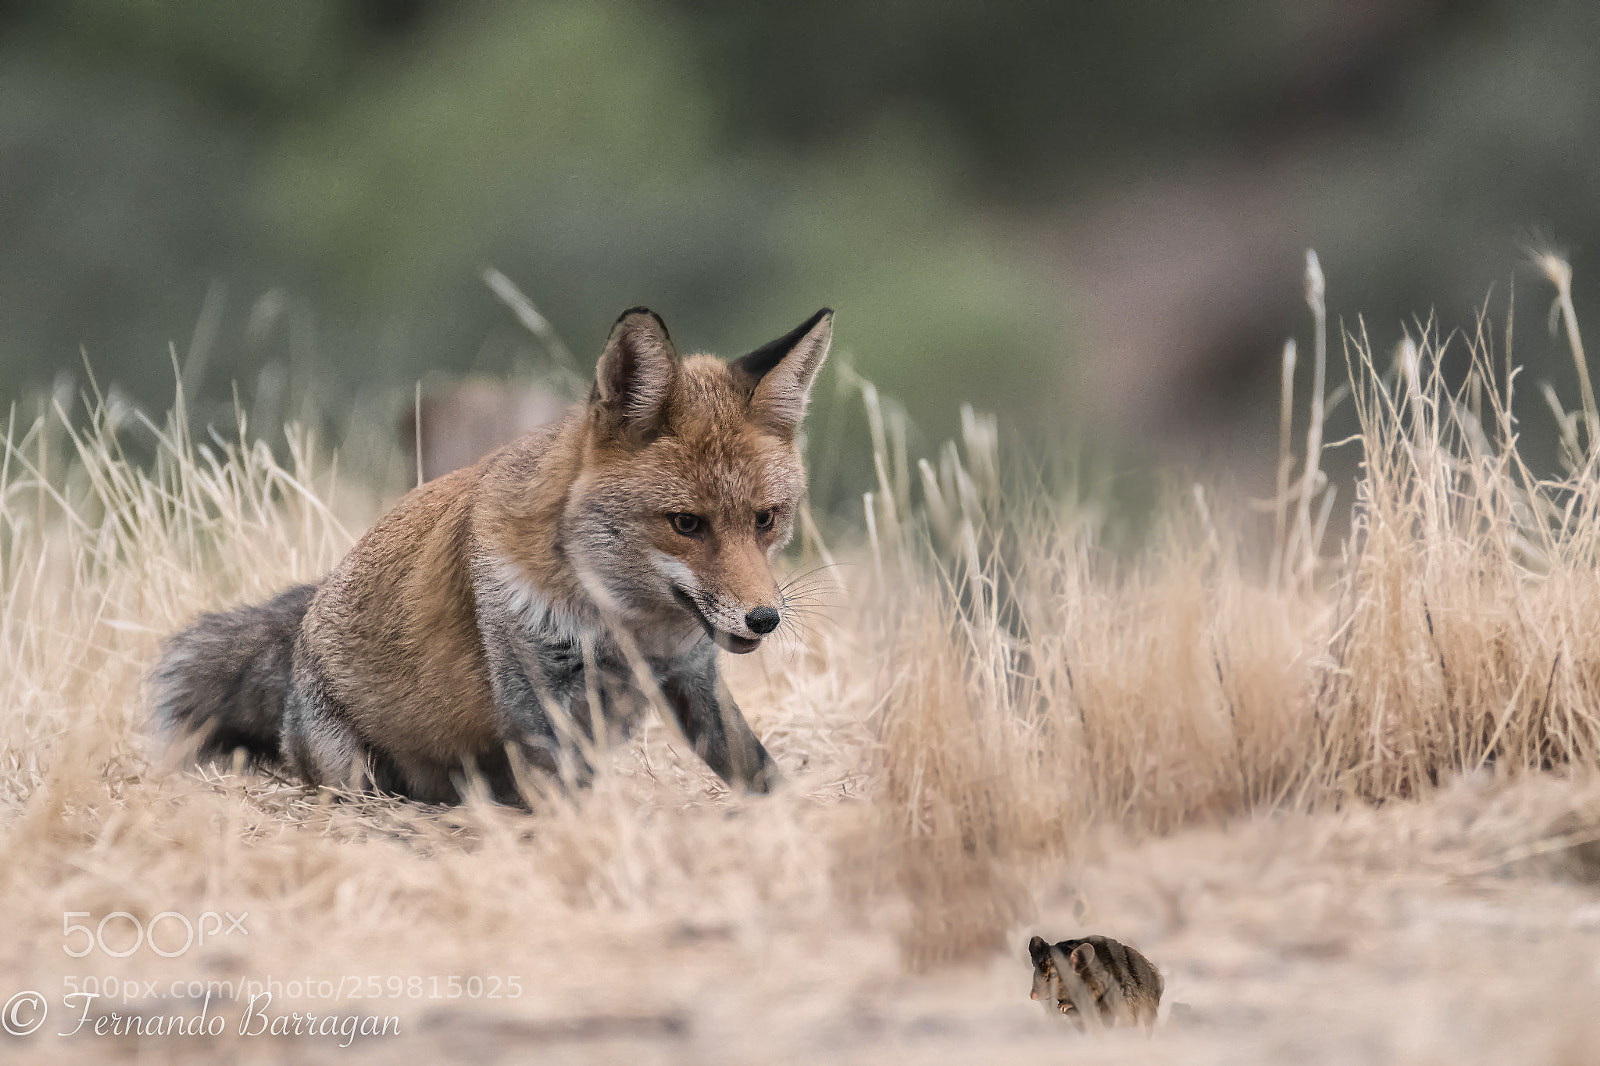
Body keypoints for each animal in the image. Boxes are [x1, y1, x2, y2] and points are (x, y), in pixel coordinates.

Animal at [152, 306, 833, 804]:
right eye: (686, 524)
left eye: (766, 519)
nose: (764, 619)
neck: (627, 626)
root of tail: (300, 637)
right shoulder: (537, 701)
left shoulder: (692, 680)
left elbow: (757, 768)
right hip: (355, 771)